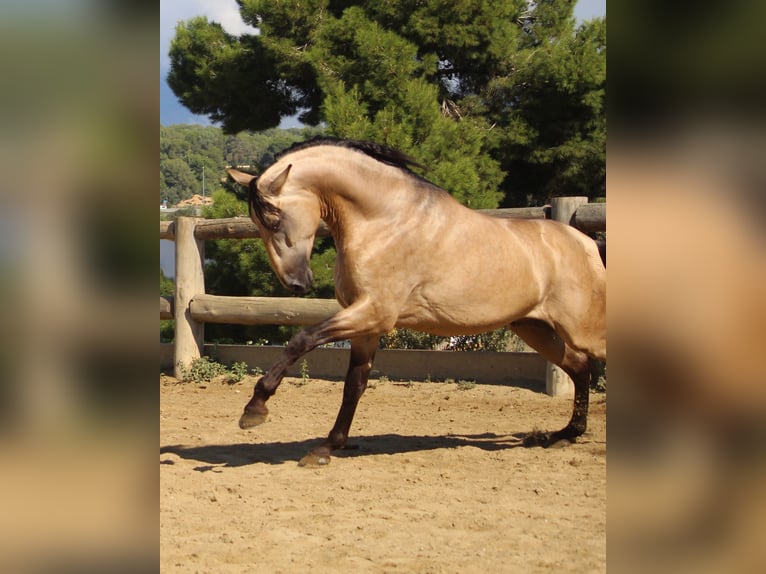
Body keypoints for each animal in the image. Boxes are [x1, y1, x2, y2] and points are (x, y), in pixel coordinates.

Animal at [226, 138, 608, 468]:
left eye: (274, 218)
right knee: (579, 367)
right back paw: (566, 434)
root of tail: (586, 243)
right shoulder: (367, 326)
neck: (384, 221)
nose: (297, 283)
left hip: (581, 329)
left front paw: (254, 409)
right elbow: (354, 385)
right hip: (534, 328)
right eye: (257, 223)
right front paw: (325, 448)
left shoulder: (375, 313)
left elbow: (301, 340)